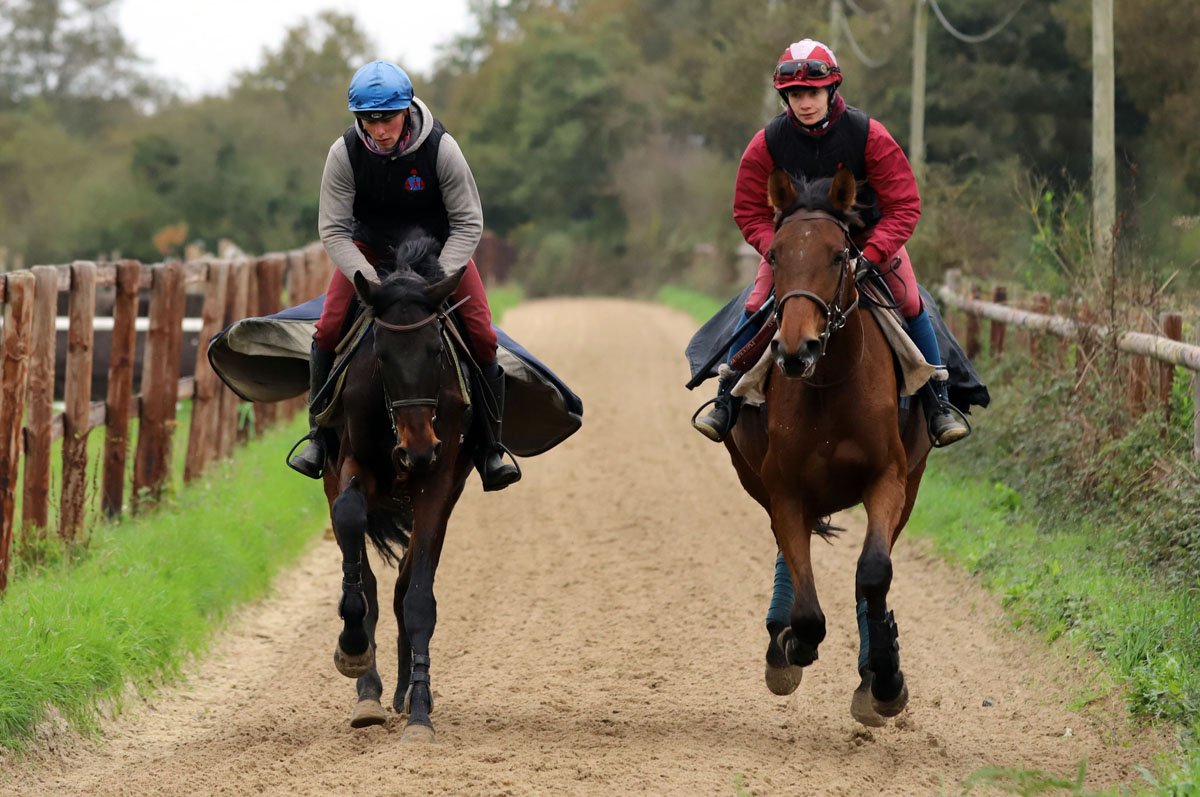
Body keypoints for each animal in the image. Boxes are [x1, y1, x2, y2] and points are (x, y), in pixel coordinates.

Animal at [321, 237, 475, 743]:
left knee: (405, 585)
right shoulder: (350, 466)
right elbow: (351, 521)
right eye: (383, 355)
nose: (418, 450)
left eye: (434, 351)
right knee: (368, 578)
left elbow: (418, 597)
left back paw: (405, 692)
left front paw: (420, 711)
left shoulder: (438, 483)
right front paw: (352, 648)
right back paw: (368, 692)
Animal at [723, 168, 933, 727]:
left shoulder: (889, 478)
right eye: (775, 255)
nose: (796, 349)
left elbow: (873, 573)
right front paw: (791, 643)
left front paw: (884, 677)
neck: (830, 384)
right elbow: (807, 607)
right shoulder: (784, 490)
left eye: (840, 255)